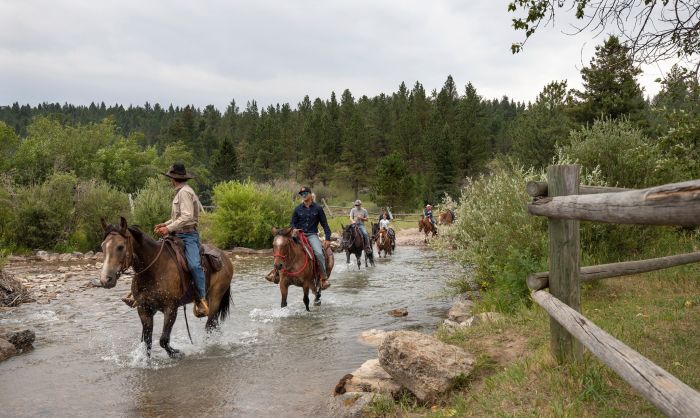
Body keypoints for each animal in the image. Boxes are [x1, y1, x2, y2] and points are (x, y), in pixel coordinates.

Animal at [99, 217, 235, 358]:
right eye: (102, 246)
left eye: (120, 247)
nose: (105, 279)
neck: (154, 269)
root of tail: (224, 256)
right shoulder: (144, 309)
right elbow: (147, 342)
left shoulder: (170, 308)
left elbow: (163, 340)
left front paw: (177, 353)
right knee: (214, 325)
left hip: (215, 298)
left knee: (210, 325)